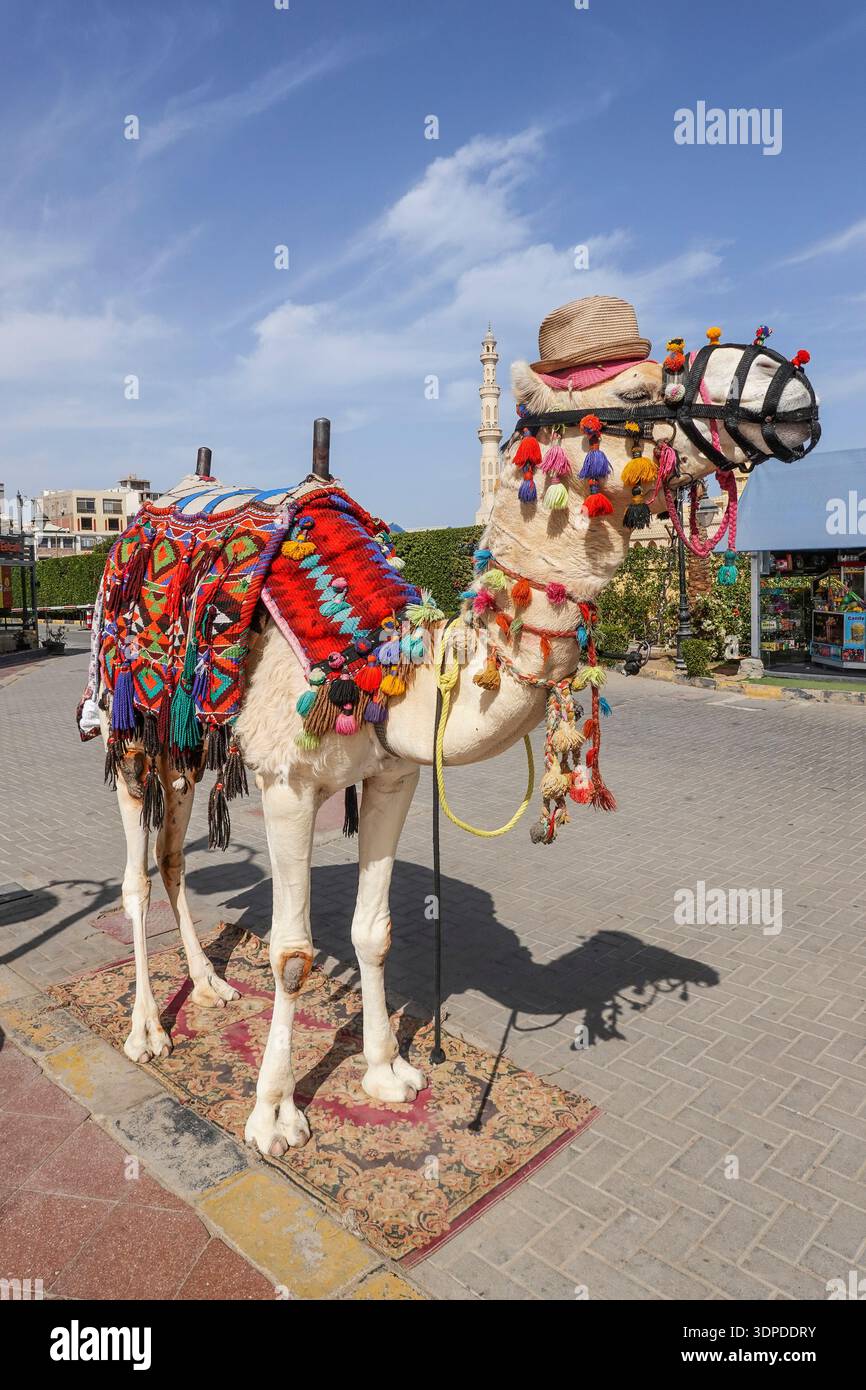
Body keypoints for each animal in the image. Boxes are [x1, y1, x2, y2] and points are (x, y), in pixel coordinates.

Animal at [101, 326, 818, 1160]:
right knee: (135, 873)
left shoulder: (392, 777)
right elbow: (291, 955)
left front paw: (386, 1074)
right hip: (128, 727)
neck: (383, 668)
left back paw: (214, 987)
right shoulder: (287, 782)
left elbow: (374, 933)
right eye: (640, 388)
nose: (793, 390)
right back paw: (148, 1032)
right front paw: (275, 1114)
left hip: (183, 741)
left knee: (174, 855)